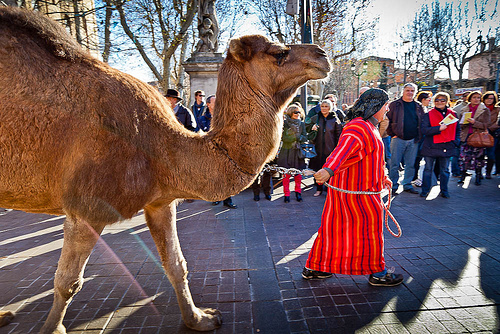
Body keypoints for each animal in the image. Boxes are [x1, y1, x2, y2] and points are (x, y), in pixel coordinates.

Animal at [0, 6, 330, 332]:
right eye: (278, 52)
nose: (322, 53)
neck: (161, 145)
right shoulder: (86, 211)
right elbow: (68, 282)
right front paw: (54, 328)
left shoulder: (161, 201)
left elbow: (176, 264)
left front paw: (200, 319)